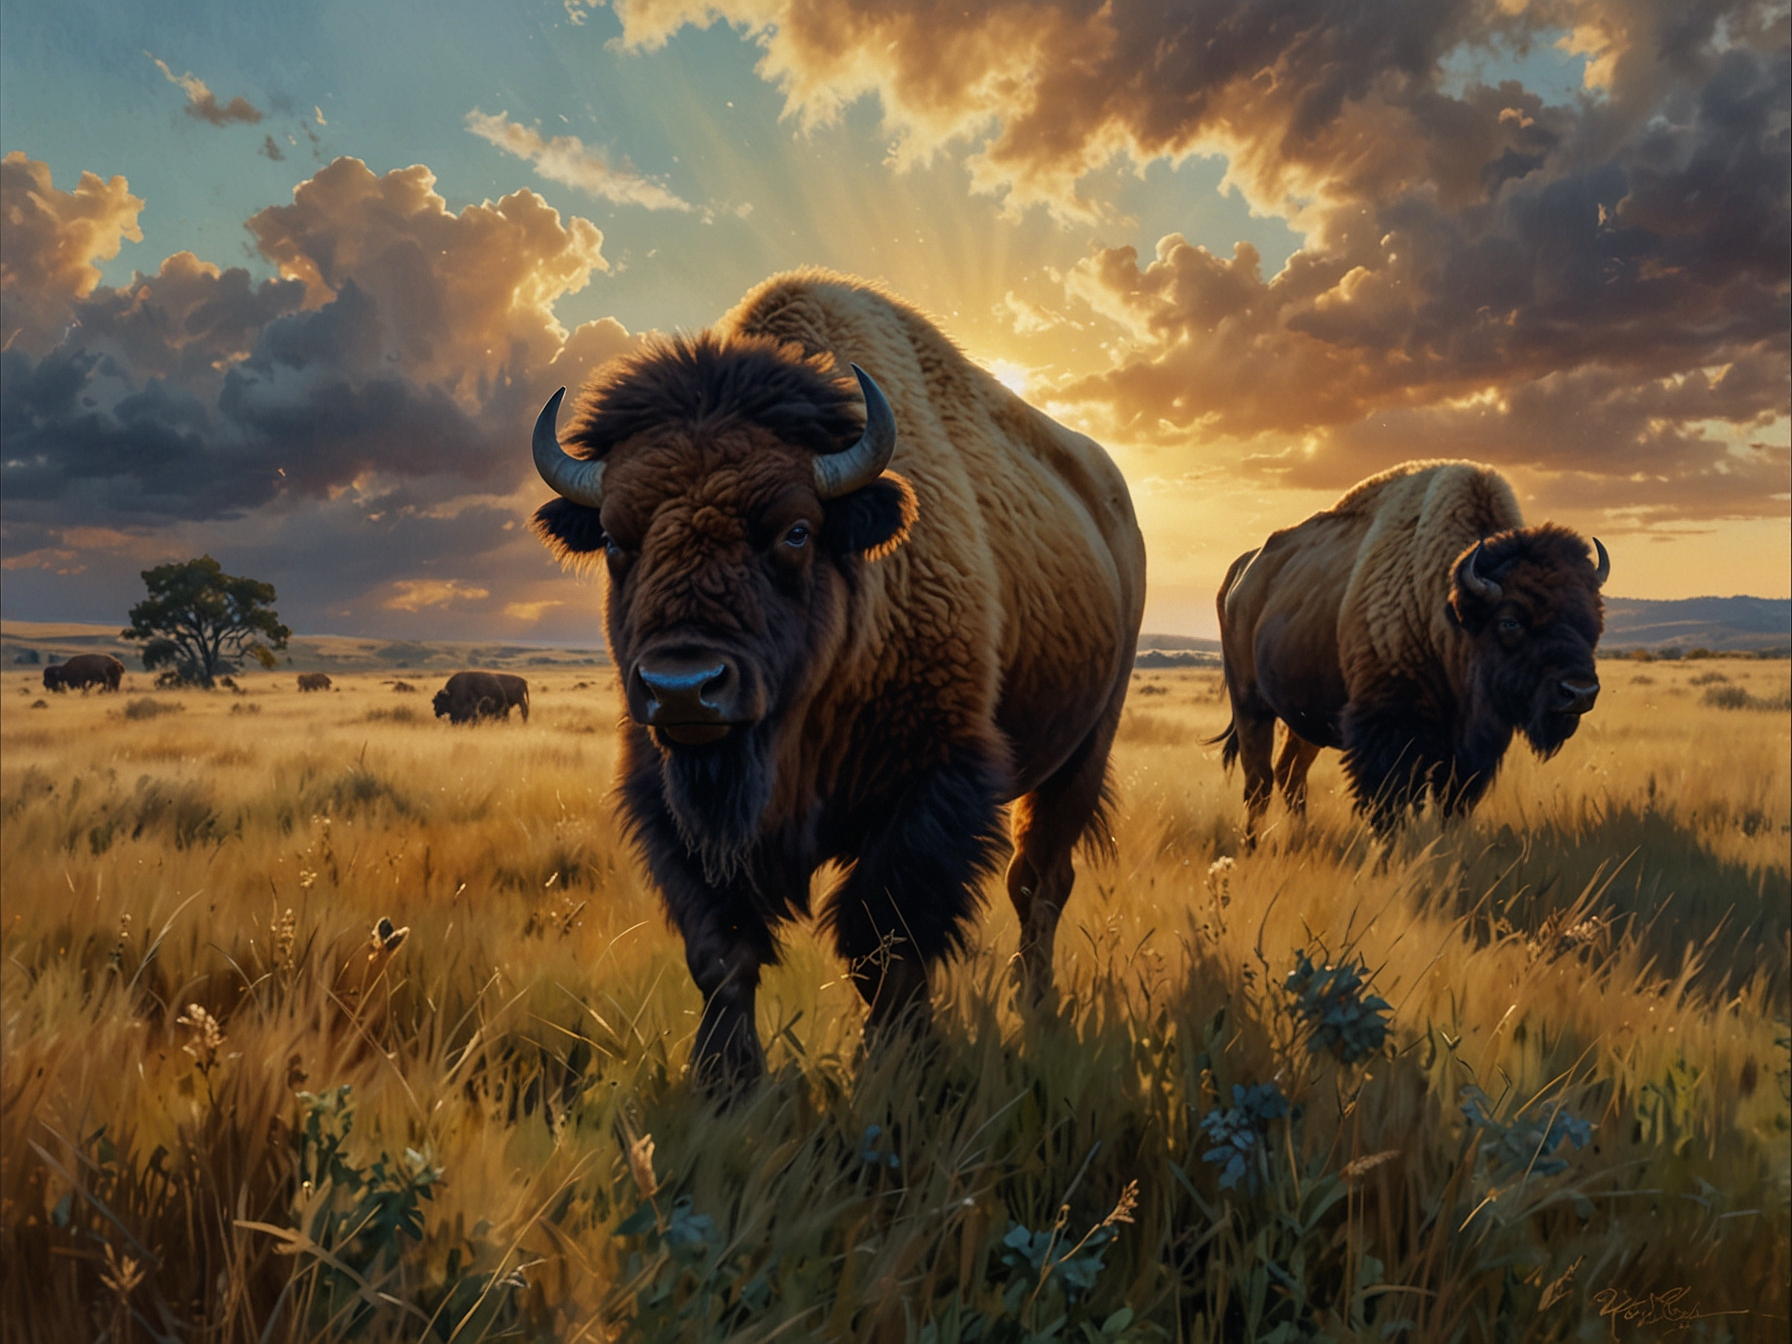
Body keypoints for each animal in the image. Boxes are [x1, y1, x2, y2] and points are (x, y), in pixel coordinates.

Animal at [529, 269, 1145, 1088]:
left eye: (796, 531)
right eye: (612, 538)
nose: (685, 686)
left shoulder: (927, 788)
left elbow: (883, 946)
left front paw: (897, 1072)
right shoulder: (674, 803)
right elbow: (723, 952)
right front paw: (724, 1084)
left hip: (1084, 752)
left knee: (1039, 884)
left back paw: (1036, 1009)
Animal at [1215, 460, 1607, 840]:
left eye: (1593, 619)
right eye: (1509, 622)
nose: (1579, 692)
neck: (1445, 608)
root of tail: (1241, 572)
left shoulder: (1469, 748)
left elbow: (1450, 804)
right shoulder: (1390, 733)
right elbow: (1391, 806)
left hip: (1305, 717)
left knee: (1290, 775)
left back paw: (1300, 836)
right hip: (1251, 706)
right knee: (1259, 781)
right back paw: (1252, 844)